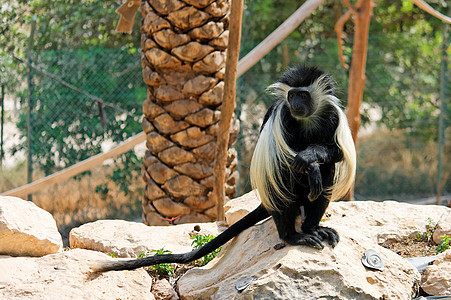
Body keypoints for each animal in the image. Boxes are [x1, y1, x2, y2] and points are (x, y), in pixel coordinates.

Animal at [98, 67, 356, 274]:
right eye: (292, 95)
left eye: (303, 94)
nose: (295, 104)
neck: (307, 119)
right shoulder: (282, 116)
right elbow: (284, 160)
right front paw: (309, 164)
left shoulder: (332, 115)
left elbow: (337, 152)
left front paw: (311, 156)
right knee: (282, 177)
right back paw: (294, 235)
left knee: (328, 170)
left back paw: (314, 227)